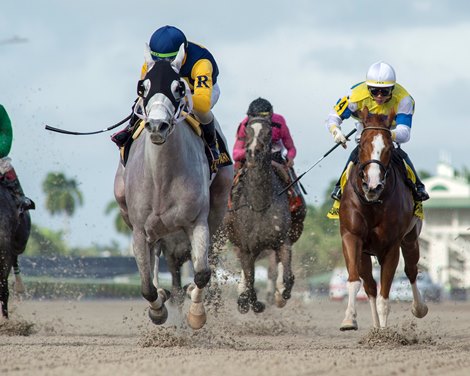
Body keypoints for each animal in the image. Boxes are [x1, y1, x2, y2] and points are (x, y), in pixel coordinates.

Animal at [114, 46, 231, 328]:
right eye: (142, 87)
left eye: (179, 87)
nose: (157, 125)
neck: (161, 180)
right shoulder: (139, 230)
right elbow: (146, 286)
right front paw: (158, 309)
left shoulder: (197, 223)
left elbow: (202, 273)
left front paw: (196, 312)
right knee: (155, 257)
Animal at [224, 117, 294, 314]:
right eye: (246, 131)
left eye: (268, 132)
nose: (253, 152)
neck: (259, 205)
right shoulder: (247, 249)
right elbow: (250, 280)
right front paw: (252, 302)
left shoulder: (282, 242)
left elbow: (287, 277)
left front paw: (281, 294)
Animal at [338, 107, 430, 330]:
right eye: (362, 144)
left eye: (388, 147)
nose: (373, 185)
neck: (373, 203)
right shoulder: (351, 236)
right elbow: (355, 281)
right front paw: (349, 319)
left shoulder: (391, 246)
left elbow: (385, 296)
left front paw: (386, 332)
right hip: (365, 253)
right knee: (370, 286)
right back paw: (375, 325)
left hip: (410, 240)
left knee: (411, 271)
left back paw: (418, 308)